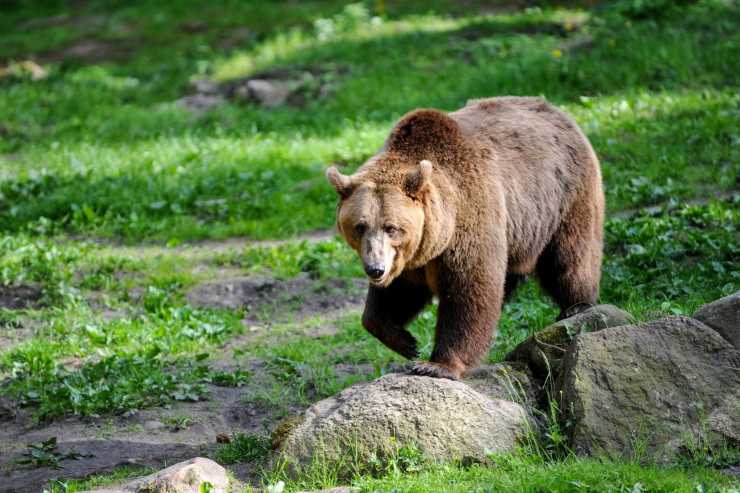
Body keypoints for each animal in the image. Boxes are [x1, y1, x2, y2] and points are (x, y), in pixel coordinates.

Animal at [326, 97, 604, 380]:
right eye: (360, 226)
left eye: (391, 227)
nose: (375, 269)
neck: (438, 233)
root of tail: (558, 111)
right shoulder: (410, 258)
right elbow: (396, 295)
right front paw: (406, 342)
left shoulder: (469, 219)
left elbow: (469, 291)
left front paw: (436, 364)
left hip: (563, 198)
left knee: (569, 259)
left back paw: (577, 306)